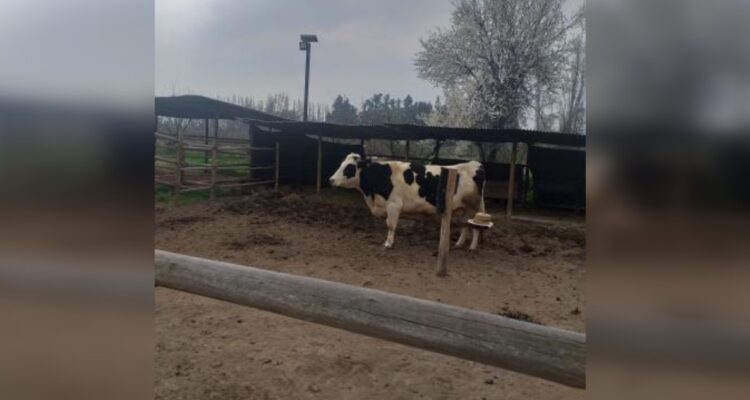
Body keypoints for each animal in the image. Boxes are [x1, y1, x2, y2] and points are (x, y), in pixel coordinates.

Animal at [329, 153, 486, 249]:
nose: (331, 180)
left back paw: (472, 247)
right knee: (465, 225)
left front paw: (388, 243)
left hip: (474, 208)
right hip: (463, 209)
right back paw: (459, 244)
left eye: (349, 168)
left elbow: (391, 225)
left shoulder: (394, 205)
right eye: (341, 164)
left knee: (475, 226)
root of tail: (475, 164)